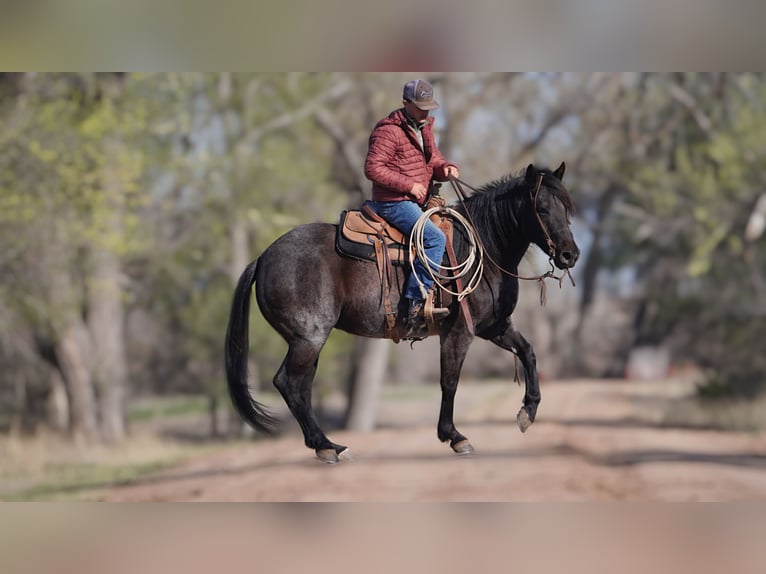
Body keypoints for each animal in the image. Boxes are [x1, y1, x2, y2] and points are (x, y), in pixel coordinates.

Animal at [225, 162, 580, 464]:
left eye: (566, 208)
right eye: (541, 209)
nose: (570, 255)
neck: (484, 245)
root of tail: (264, 257)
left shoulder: (493, 326)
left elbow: (528, 352)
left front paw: (528, 412)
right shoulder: (459, 331)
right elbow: (450, 380)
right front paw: (454, 437)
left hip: (308, 342)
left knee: (300, 387)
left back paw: (328, 445)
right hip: (308, 337)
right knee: (289, 383)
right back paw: (326, 446)